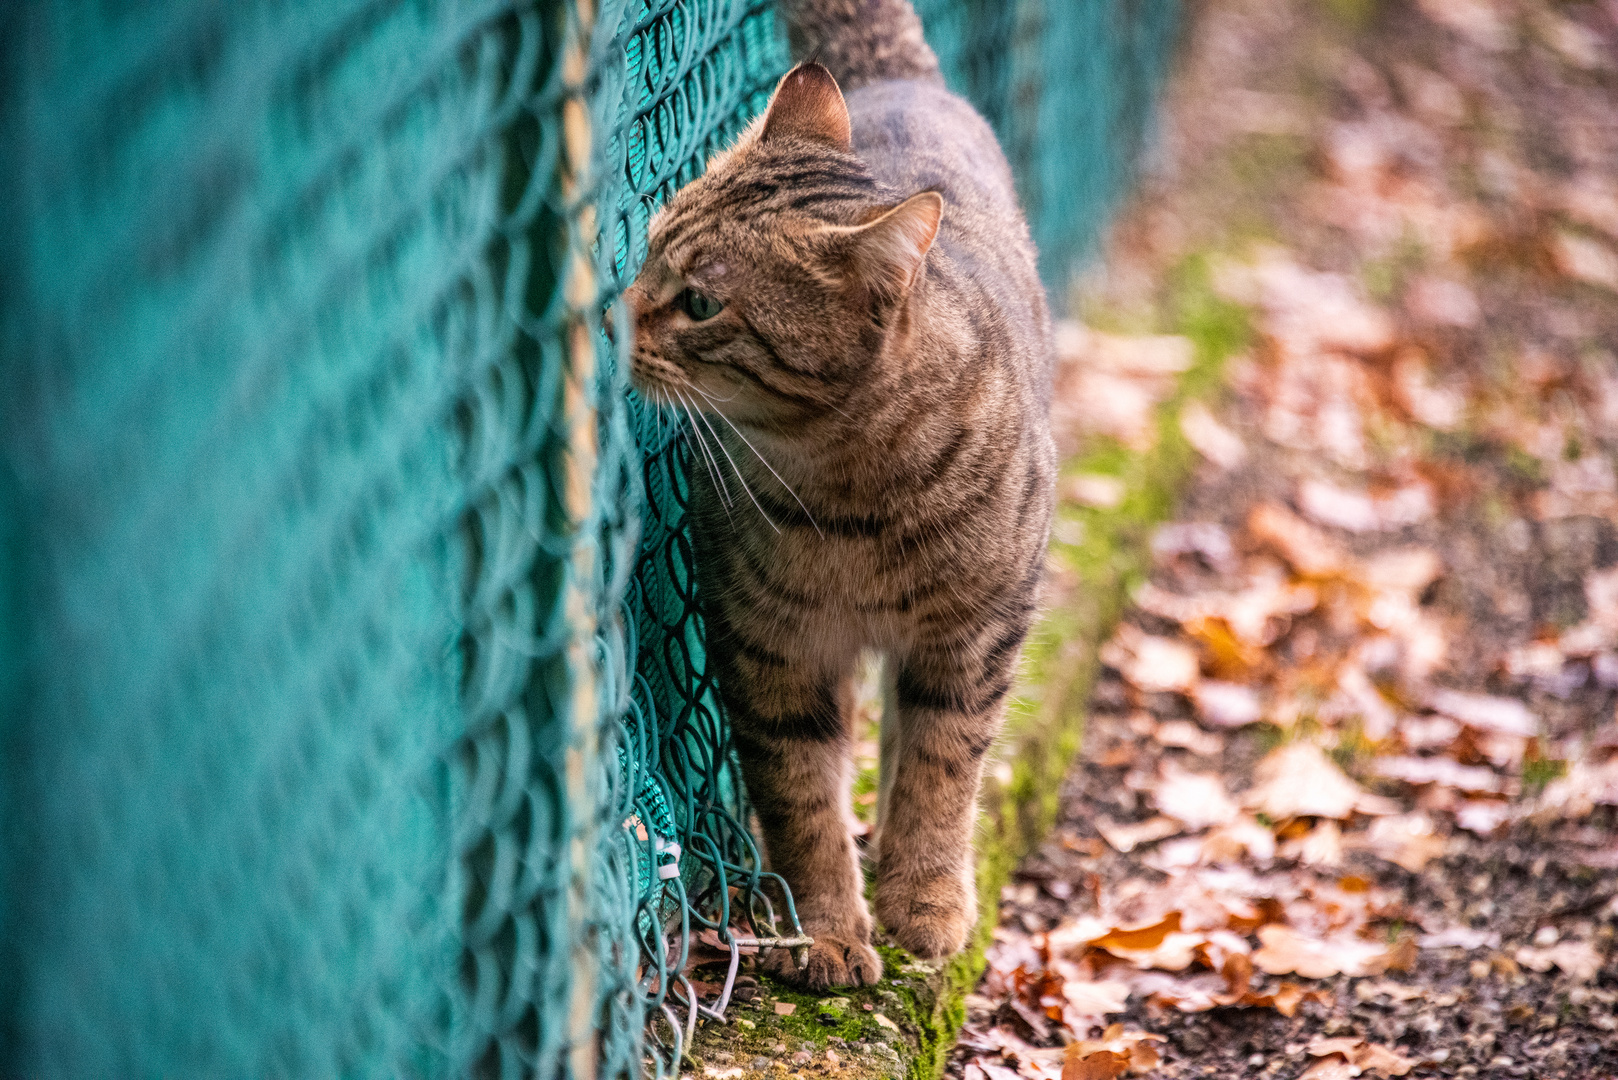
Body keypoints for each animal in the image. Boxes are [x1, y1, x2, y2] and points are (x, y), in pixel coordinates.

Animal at [621, 0, 1061, 990]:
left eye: (701, 303)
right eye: (649, 245)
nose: (613, 315)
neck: (854, 494)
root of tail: (894, 78)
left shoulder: (978, 634)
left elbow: (944, 770)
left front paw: (924, 902)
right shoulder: (770, 648)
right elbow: (801, 796)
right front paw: (824, 929)